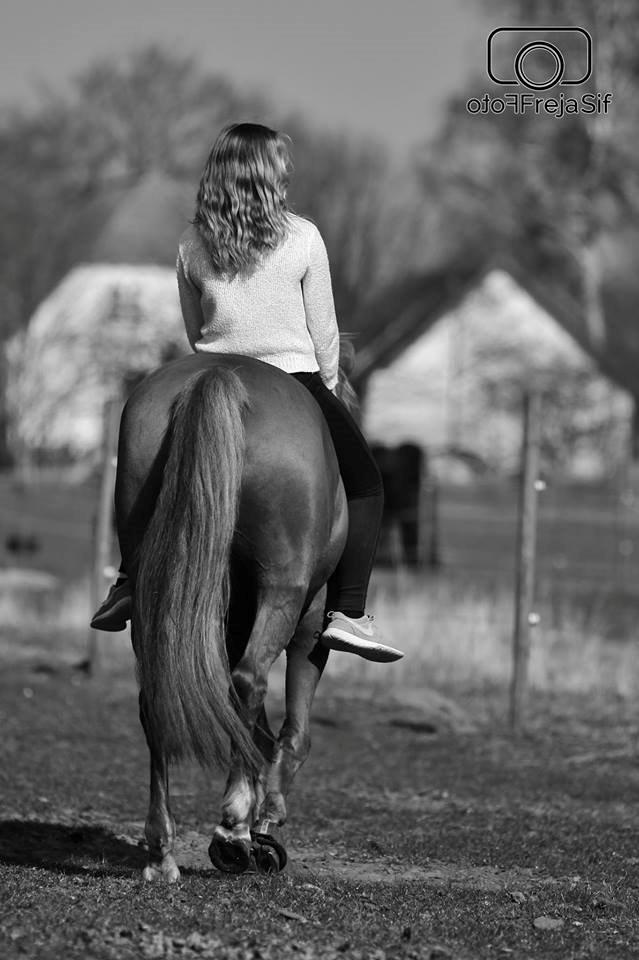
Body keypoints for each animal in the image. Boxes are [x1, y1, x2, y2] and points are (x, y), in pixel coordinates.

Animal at [115, 352, 348, 876]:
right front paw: (267, 816)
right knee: (248, 682)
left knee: (158, 696)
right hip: (284, 588)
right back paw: (235, 826)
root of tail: (217, 372)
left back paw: (162, 850)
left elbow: (255, 727)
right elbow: (291, 731)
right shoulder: (308, 619)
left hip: (154, 588)